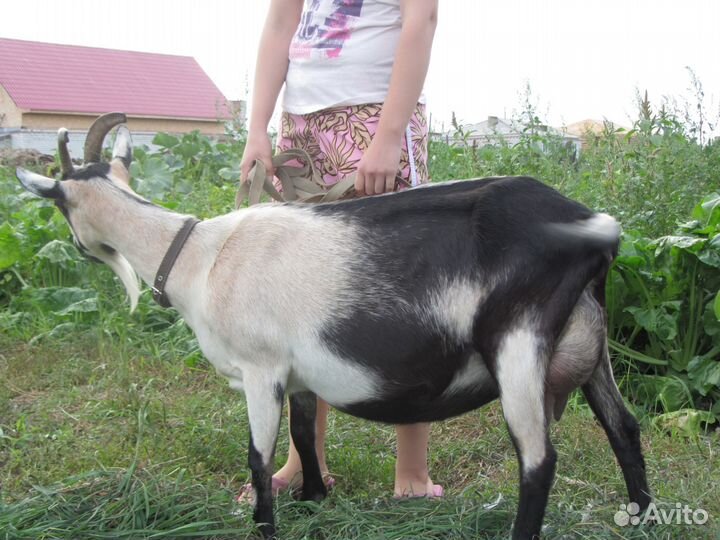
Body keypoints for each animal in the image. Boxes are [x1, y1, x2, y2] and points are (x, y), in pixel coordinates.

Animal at [16, 114, 651, 539]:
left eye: (60, 207)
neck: (199, 256)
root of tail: (595, 228)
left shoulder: (261, 368)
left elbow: (258, 457)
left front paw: (266, 526)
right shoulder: (298, 376)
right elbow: (303, 434)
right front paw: (316, 499)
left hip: (519, 341)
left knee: (538, 460)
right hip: (589, 341)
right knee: (623, 426)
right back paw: (640, 514)